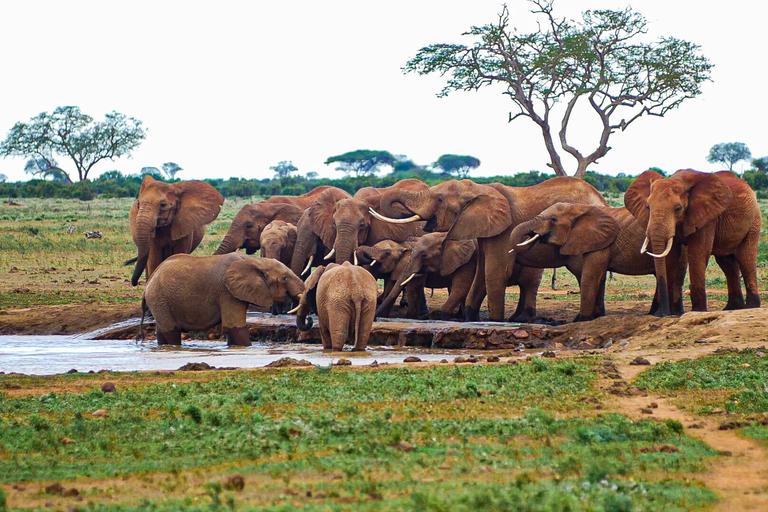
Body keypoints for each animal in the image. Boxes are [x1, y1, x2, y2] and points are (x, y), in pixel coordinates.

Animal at [142, 253, 305, 346]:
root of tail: (149, 282)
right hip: (159, 298)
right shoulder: (226, 292)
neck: (256, 261)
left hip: (159, 301)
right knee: (171, 331)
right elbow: (234, 327)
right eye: (284, 278)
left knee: (162, 331)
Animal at [370, 178, 606, 321]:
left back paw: (583, 318)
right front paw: (470, 319)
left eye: (439, 199)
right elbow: (481, 274)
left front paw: (495, 321)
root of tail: (601, 200)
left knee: (583, 271)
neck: (480, 188)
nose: (378, 317)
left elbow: (495, 272)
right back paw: (597, 316)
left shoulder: (504, 230)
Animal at [507, 203, 671, 321]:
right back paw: (654, 313)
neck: (579, 208)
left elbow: (590, 276)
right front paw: (595, 316)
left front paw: (581, 319)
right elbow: (595, 276)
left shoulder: (601, 242)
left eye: (553, 219)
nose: (534, 235)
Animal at [625, 169, 761, 315]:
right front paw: (674, 314)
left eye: (678, 208)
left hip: (754, 220)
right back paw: (732, 308)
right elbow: (671, 256)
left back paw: (751, 307)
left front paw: (698, 312)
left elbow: (698, 253)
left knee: (746, 258)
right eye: (648, 207)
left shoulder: (707, 218)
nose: (662, 314)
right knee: (727, 263)